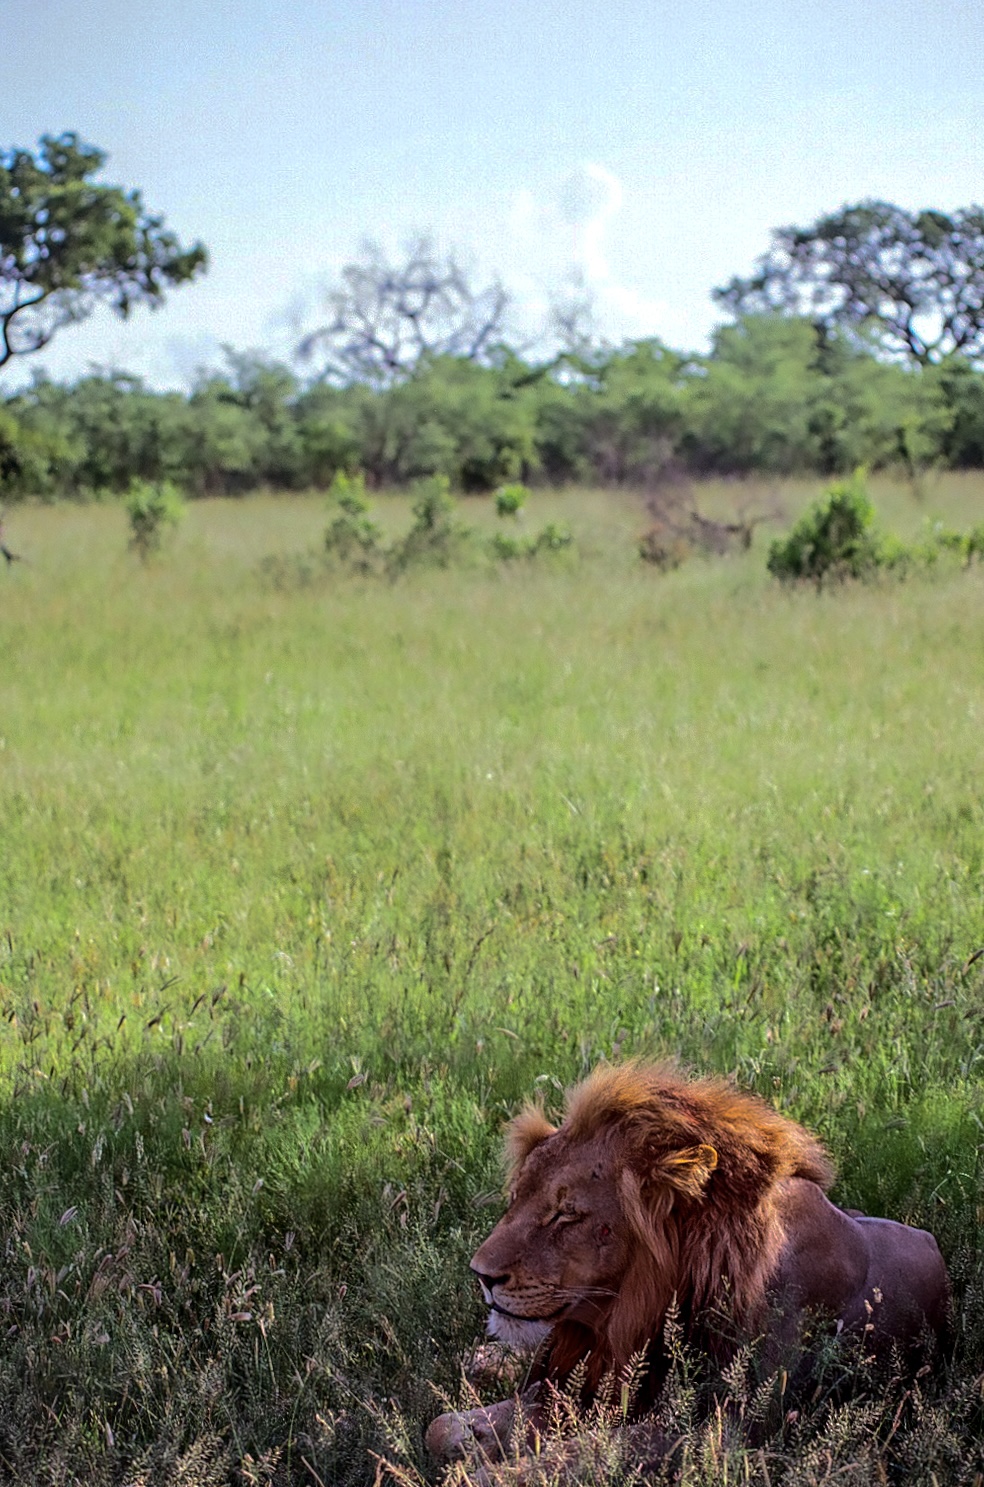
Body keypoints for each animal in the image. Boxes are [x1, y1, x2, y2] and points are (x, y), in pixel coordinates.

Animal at [426, 1062, 949, 1471]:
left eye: (567, 1214)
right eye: (516, 1199)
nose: (481, 1275)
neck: (637, 1311)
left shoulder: (723, 1429)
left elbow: (572, 1457)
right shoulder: (579, 1380)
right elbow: (442, 1427)